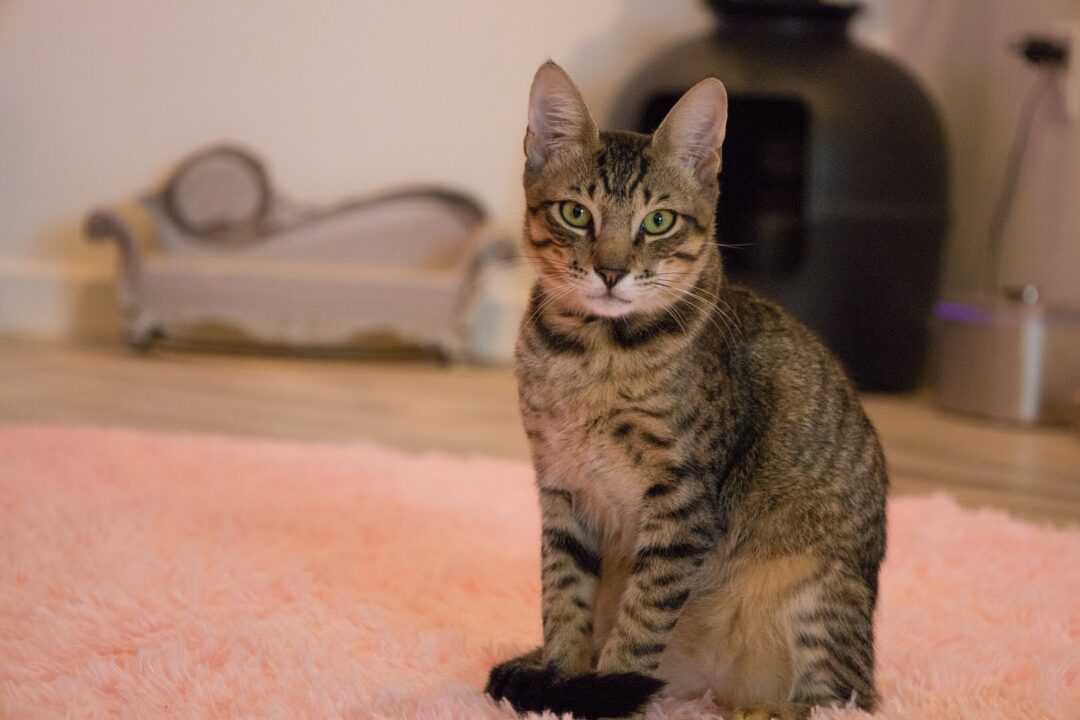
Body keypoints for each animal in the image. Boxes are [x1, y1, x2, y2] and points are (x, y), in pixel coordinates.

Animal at [486, 62, 889, 720]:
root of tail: (711, 687)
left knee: (844, 699)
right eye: (575, 214)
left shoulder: (683, 496)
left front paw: (604, 690)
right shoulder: (561, 483)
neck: (595, 354)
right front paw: (560, 678)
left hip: (816, 587)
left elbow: (645, 611)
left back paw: (766, 709)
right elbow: (563, 595)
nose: (611, 270)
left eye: (658, 221)